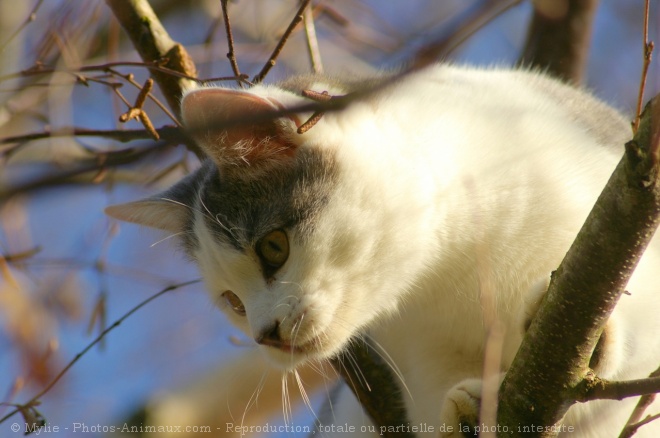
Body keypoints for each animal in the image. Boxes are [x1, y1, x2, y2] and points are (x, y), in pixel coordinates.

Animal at [105, 63, 660, 436]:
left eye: (273, 248)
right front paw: (473, 409)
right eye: (232, 303)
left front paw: (598, 345)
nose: (266, 335)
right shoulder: (419, 369)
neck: (450, 266)